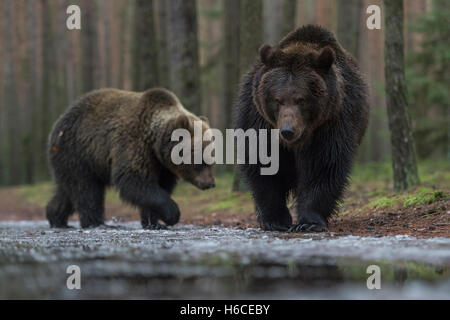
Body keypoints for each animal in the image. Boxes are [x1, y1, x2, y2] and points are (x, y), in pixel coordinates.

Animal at [46, 87, 215, 229]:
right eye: (202, 161)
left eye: (212, 160)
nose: (211, 183)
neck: (154, 143)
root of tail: (57, 124)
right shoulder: (134, 144)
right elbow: (133, 179)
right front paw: (172, 214)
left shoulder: (161, 165)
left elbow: (160, 186)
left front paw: (154, 222)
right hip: (78, 152)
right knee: (86, 189)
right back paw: (95, 222)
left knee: (67, 190)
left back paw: (56, 218)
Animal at [234, 23, 368, 231]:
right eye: (277, 99)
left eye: (301, 99)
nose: (288, 130)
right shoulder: (259, 121)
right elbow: (262, 164)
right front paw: (275, 220)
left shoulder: (331, 122)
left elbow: (323, 165)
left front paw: (309, 222)